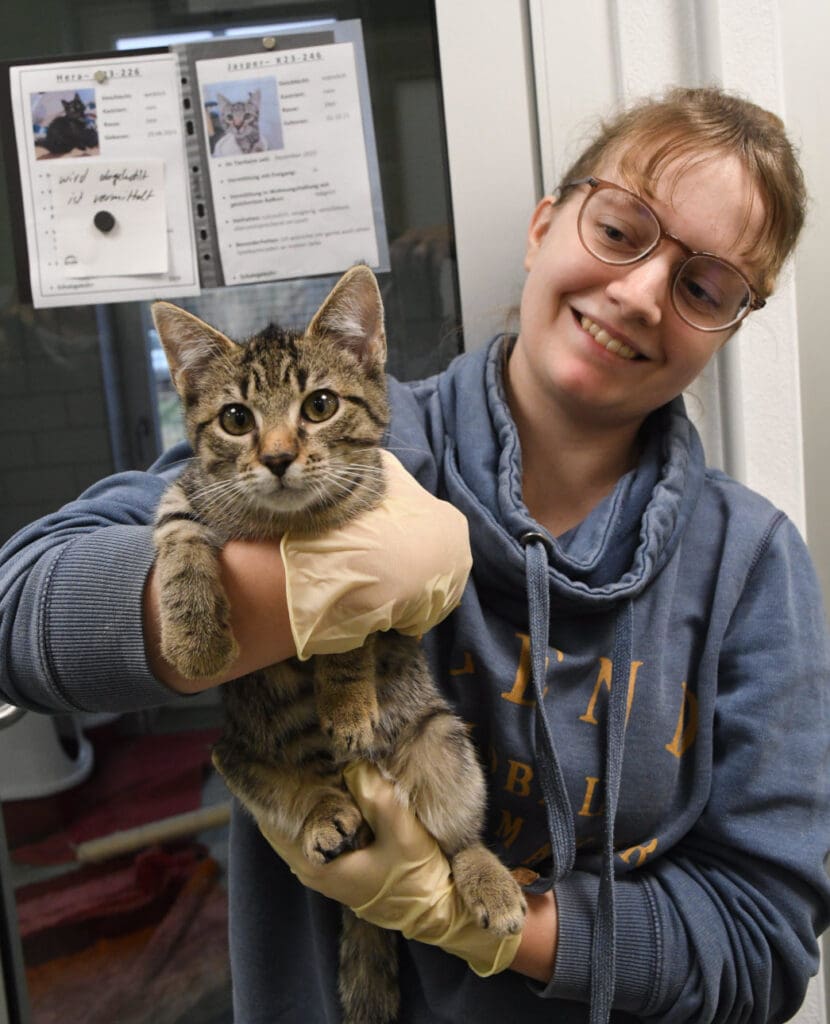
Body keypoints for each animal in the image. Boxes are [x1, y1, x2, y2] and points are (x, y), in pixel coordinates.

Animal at [150, 268, 523, 1024]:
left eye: (319, 405)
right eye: (236, 419)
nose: (278, 457)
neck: (284, 524)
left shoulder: (366, 560)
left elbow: (345, 639)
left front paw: (347, 706)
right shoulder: (186, 493)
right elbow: (178, 538)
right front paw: (194, 635)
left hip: (440, 740)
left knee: (456, 834)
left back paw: (483, 876)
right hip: (233, 750)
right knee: (278, 781)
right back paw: (323, 809)